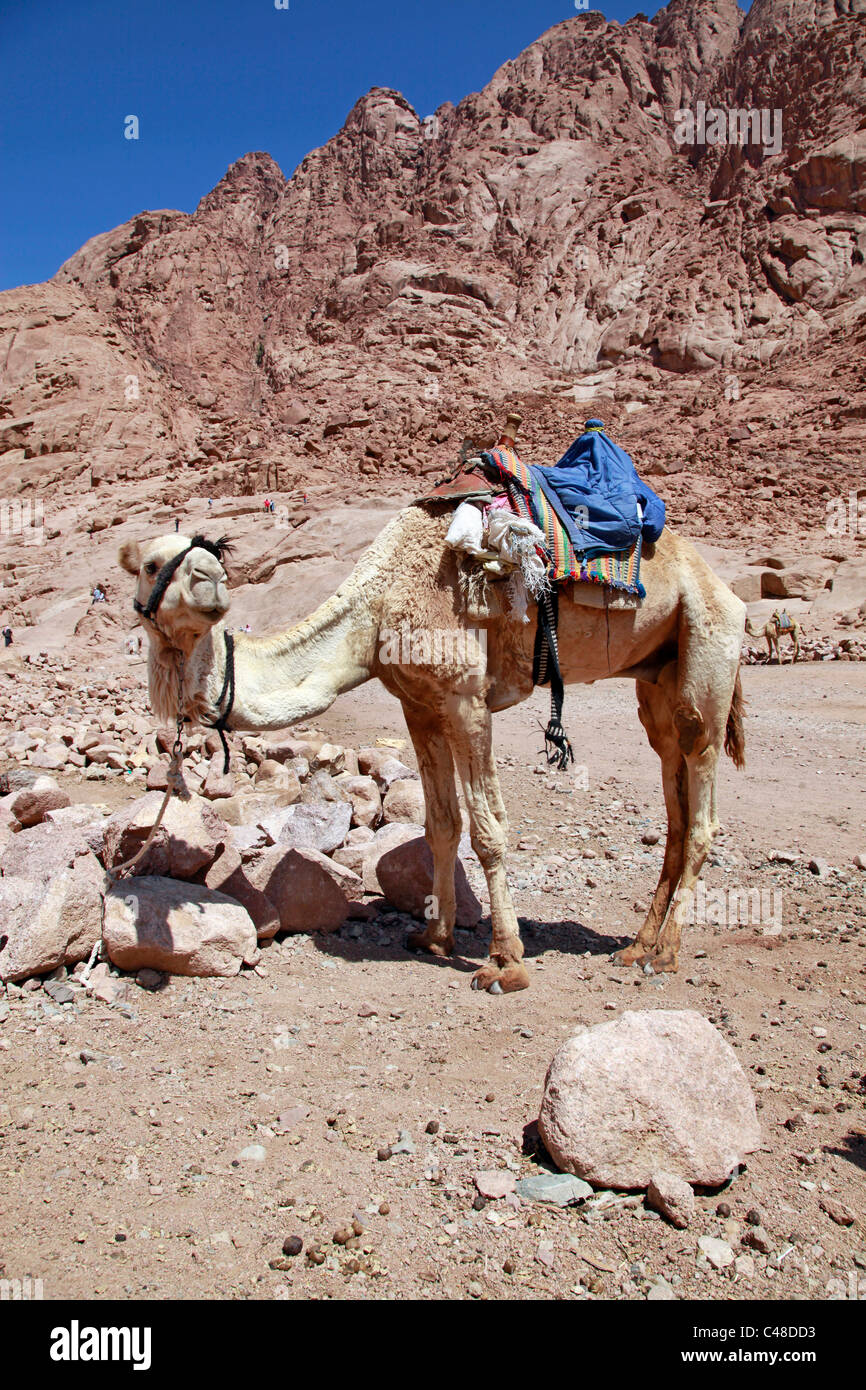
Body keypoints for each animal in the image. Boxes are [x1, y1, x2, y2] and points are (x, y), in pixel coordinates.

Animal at [118, 472, 750, 995]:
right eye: (151, 564)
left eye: (206, 560)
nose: (211, 582)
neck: (373, 612)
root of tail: (722, 586)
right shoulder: (418, 705)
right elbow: (441, 824)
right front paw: (434, 937)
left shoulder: (467, 700)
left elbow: (489, 830)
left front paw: (505, 963)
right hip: (657, 679)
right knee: (674, 799)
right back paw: (637, 946)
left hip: (707, 645)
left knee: (702, 798)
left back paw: (665, 953)